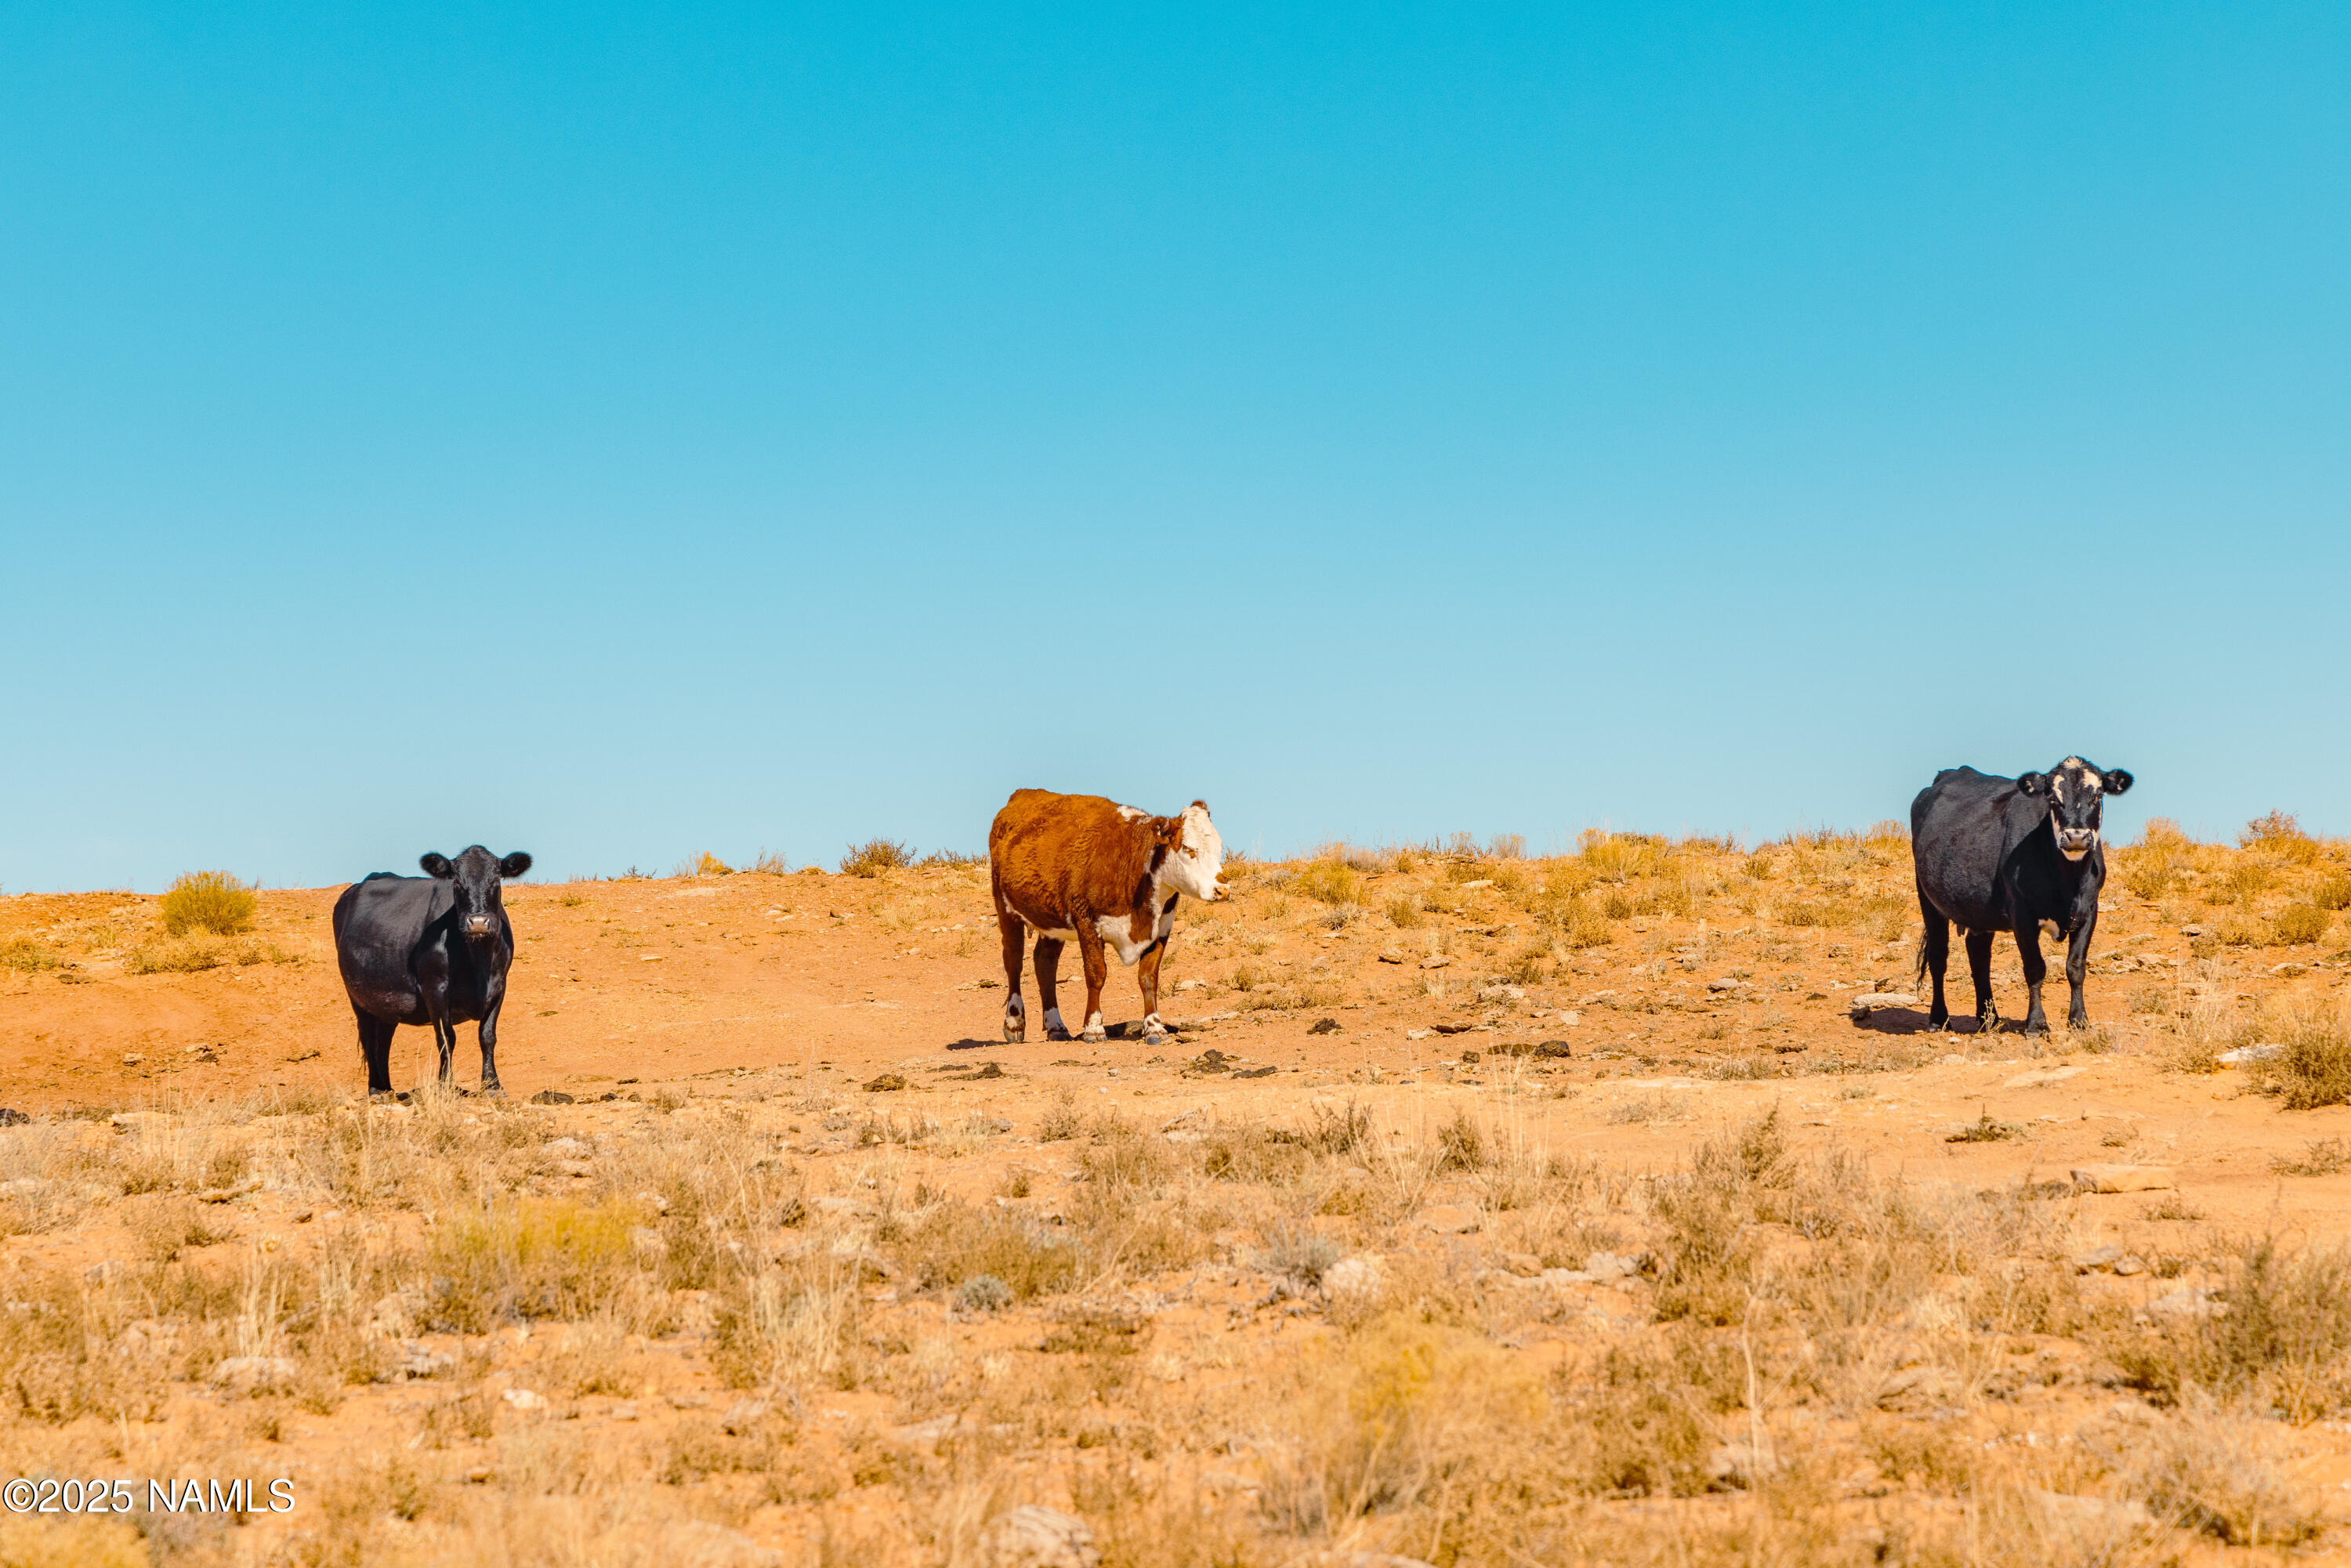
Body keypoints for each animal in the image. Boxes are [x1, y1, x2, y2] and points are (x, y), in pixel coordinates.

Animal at [332, 846, 532, 1096]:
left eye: (495, 879)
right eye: (457, 882)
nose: (477, 922)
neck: (477, 960)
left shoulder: (499, 986)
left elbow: (487, 1036)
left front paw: (492, 1086)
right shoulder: (434, 987)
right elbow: (446, 1038)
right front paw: (446, 1085)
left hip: (386, 1001)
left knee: (383, 1040)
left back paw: (386, 1088)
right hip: (358, 996)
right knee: (370, 1036)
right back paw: (377, 1090)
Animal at [988, 790, 1227, 1044]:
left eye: (1219, 849)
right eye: (1189, 850)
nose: (1223, 890)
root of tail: (1021, 796)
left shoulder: (1162, 927)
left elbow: (1148, 977)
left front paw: (1155, 1028)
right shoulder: (1087, 922)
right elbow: (1096, 975)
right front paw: (1094, 1028)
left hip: (1051, 919)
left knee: (1045, 963)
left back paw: (1056, 1027)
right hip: (1005, 905)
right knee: (1014, 959)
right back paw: (1014, 1023)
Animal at [1911, 759, 2134, 1036]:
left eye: (2098, 795)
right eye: (2053, 797)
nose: (2077, 837)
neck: (2067, 882)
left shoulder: (2089, 911)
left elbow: (2076, 967)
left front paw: (2079, 1020)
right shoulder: (2022, 915)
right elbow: (2035, 968)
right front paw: (2037, 1024)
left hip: (1979, 908)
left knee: (1978, 955)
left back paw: (1989, 1019)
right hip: (1928, 898)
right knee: (1938, 956)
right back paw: (1939, 1019)